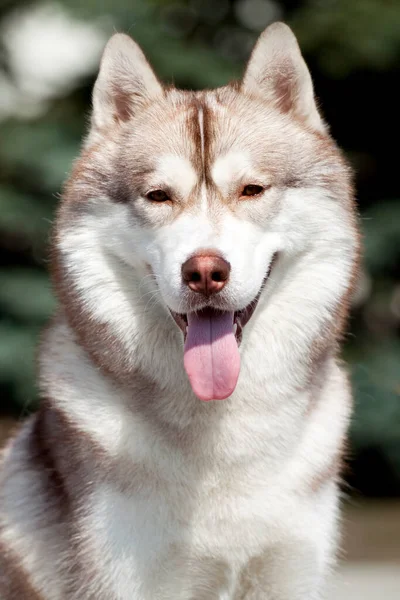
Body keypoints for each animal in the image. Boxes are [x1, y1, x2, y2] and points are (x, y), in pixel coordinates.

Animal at [0, 21, 360, 600]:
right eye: (158, 196)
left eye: (252, 189)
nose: (205, 271)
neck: (224, 436)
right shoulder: (130, 576)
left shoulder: (287, 571)